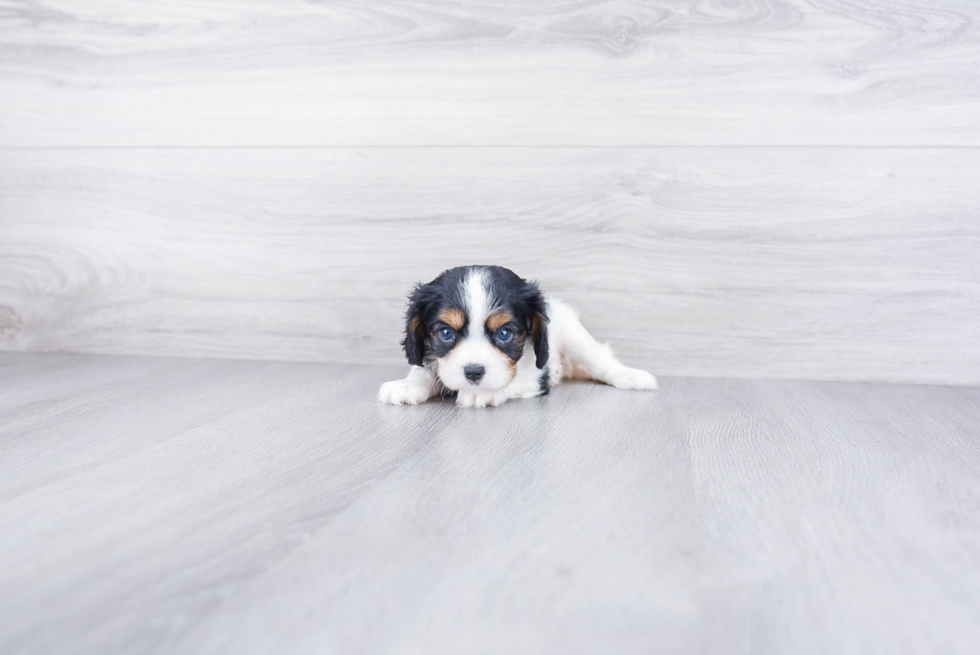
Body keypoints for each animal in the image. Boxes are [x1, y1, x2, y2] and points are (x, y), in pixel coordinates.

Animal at [378, 264, 656, 408]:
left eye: (504, 334)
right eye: (446, 333)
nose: (474, 372)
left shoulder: (536, 374)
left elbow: (514, 379)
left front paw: (484, 392)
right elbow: (426, 371)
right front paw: (407, 384)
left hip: (573, 332)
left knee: (600, 359)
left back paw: (631, 376)